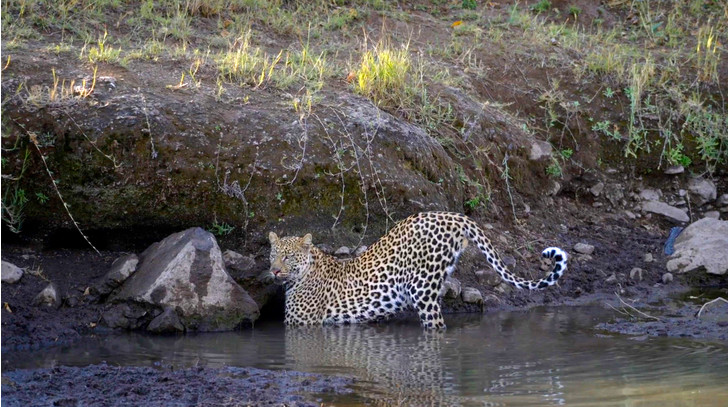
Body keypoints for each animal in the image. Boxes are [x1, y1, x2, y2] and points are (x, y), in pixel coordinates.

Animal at [268, 212, 568, 330]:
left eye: (288, 257)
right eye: (273, 255)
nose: (274, 271)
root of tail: (450, 215)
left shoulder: (301, 324)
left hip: (423, 289)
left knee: (437, 325)